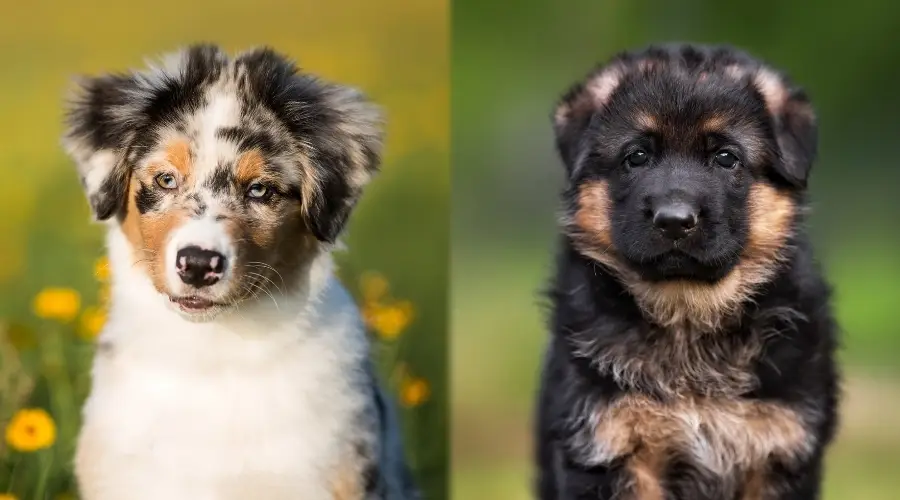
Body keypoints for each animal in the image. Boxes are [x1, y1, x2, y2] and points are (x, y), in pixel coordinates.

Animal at [536, 43, 836, 500]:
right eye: (637, 156)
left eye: (726, 158)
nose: (674, 220)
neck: (688, 316)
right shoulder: (609, 447)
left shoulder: (777, 449)